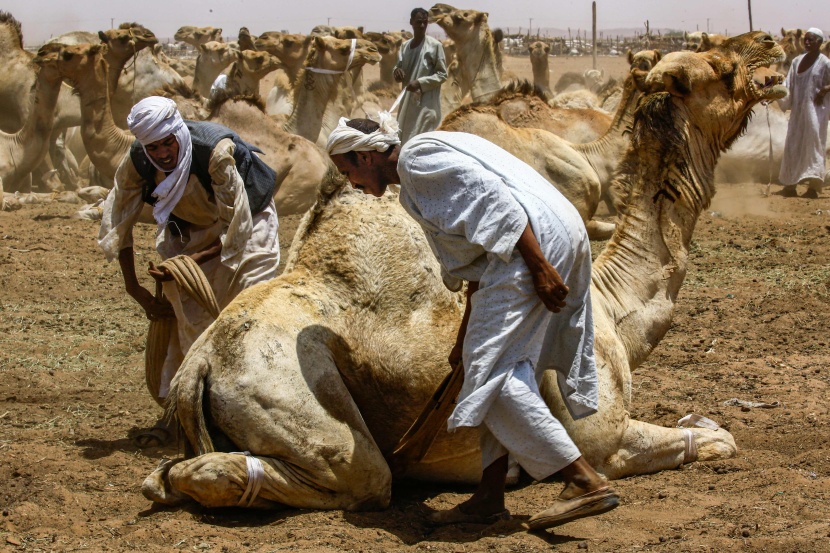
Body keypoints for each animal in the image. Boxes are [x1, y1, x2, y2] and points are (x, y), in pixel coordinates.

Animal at [140, 32, 788, 512]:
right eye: (722, 69)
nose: (771, 49)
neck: (611, 307)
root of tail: (198, 365)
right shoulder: (603, 439)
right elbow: (717, 440)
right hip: (296, 403)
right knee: (357, 476)